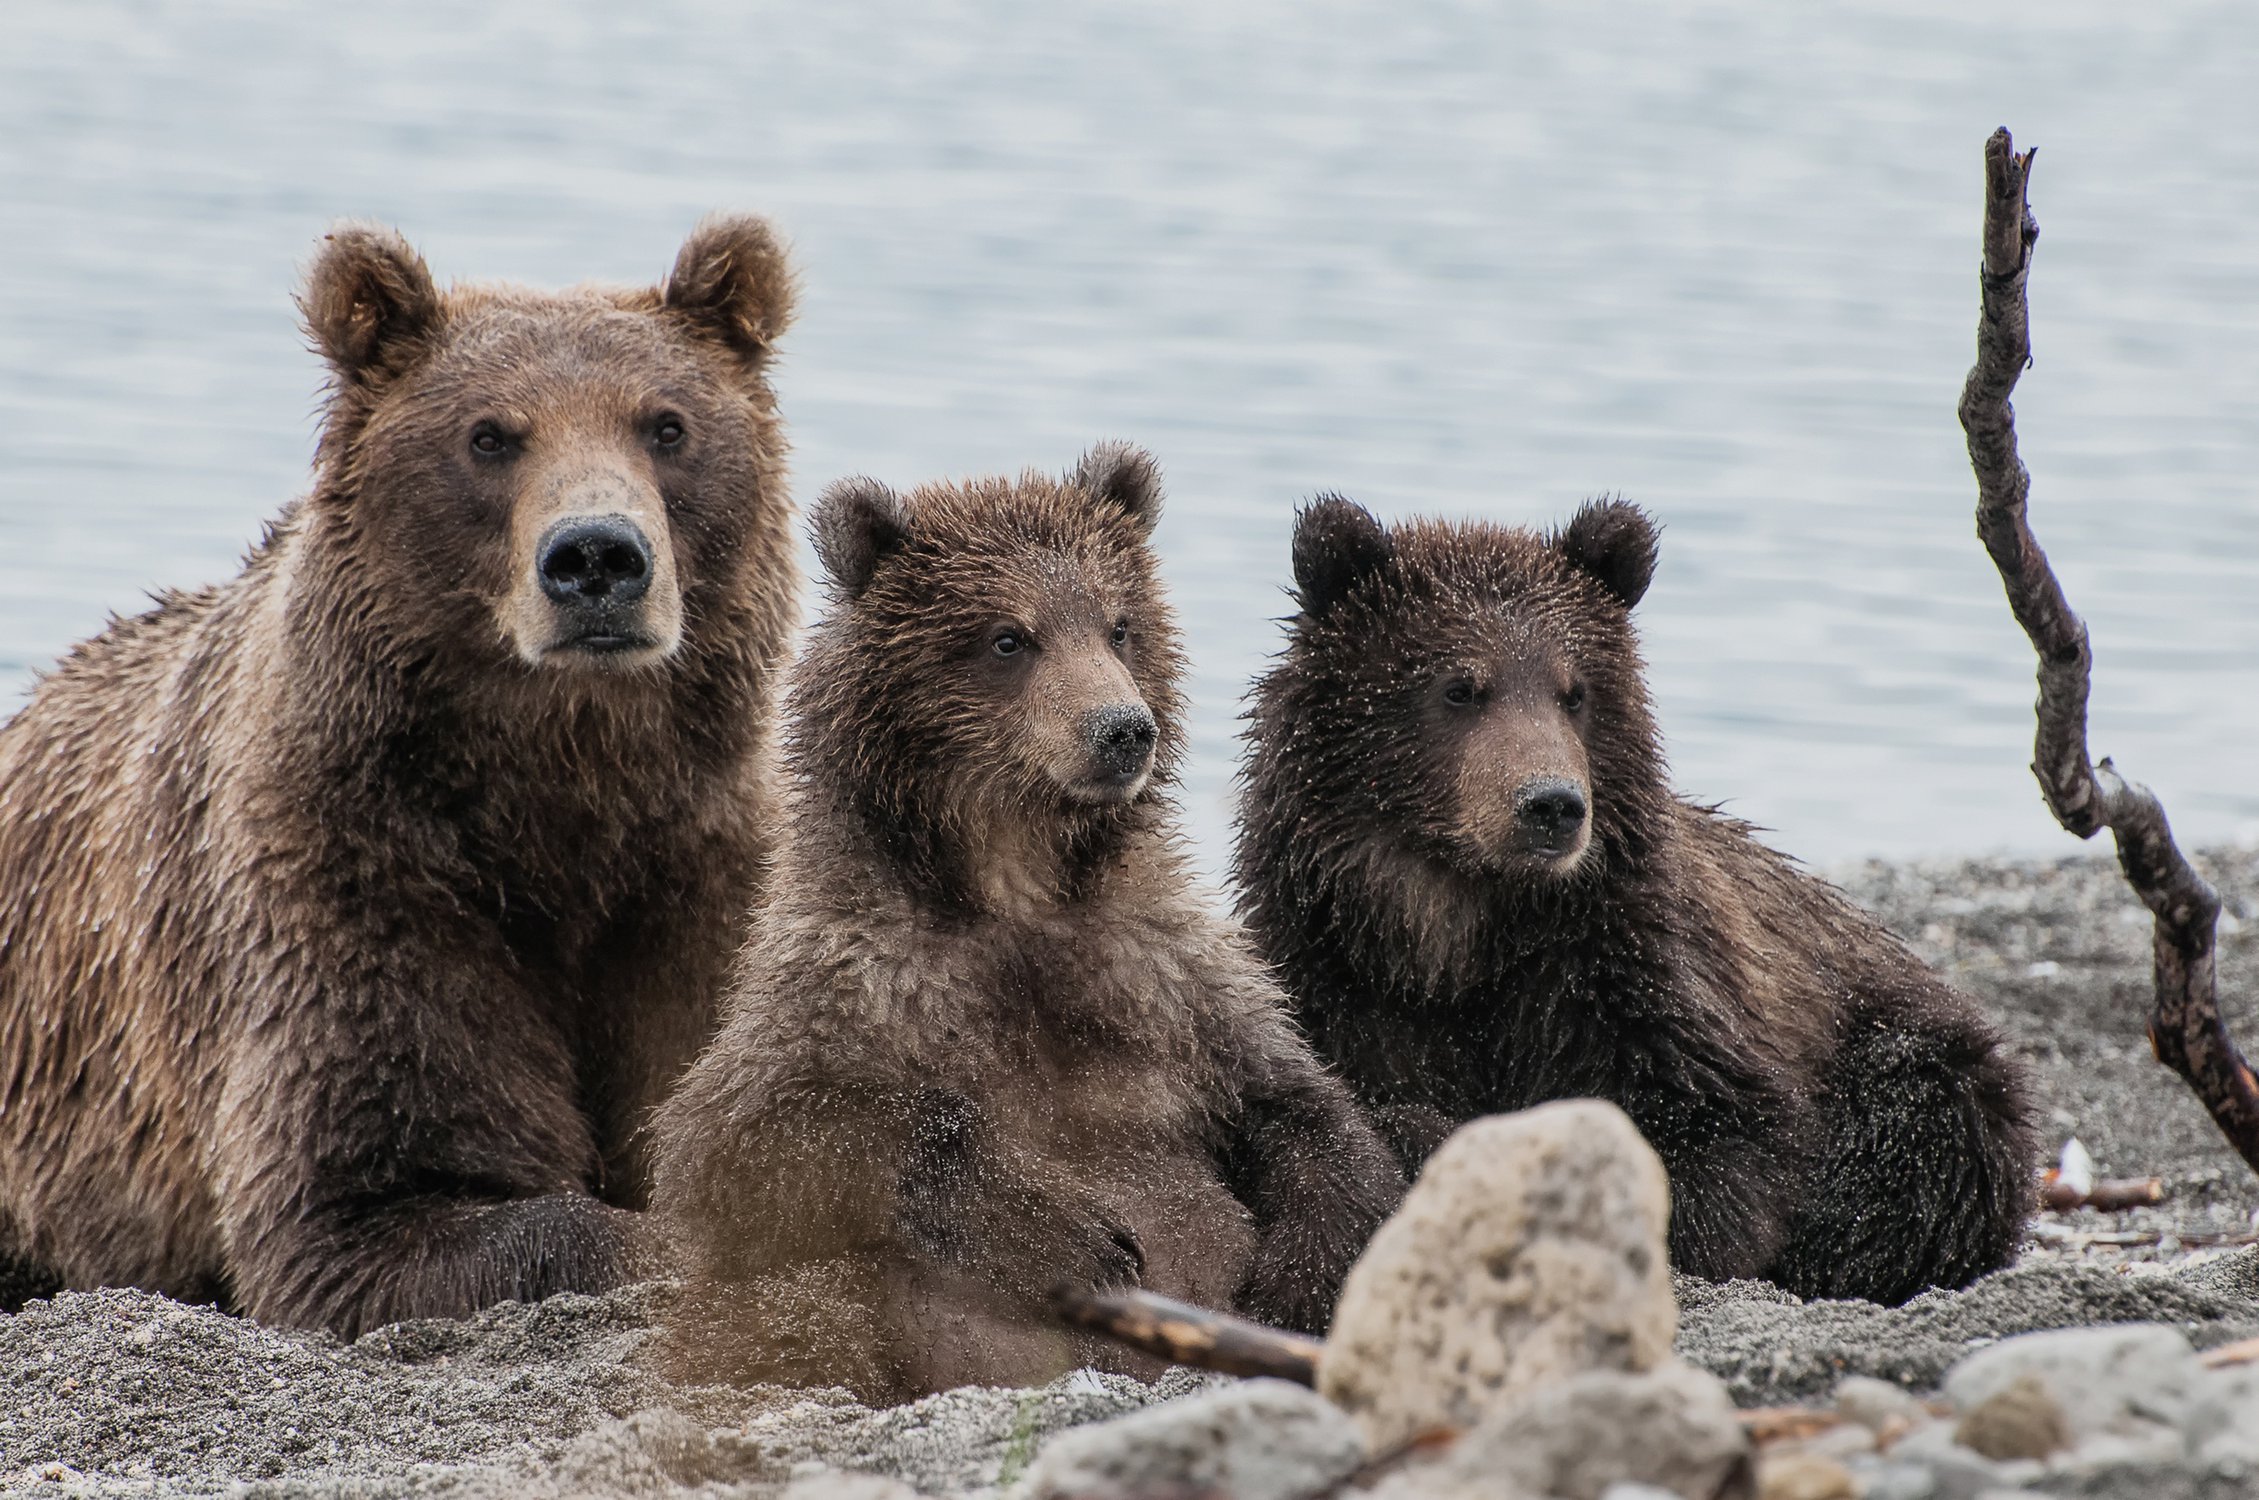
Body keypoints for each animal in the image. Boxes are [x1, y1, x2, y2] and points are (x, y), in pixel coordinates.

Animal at [0, 216, 804, 1328]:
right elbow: (379, 1192)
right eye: (489, 435)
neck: (565, 787)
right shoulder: (352, 871)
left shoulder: (700, 874)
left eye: (667, 425)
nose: (597, 558)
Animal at [1246, 496, 2042, 1310]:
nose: (1552, 805)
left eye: (1575, 692)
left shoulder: (1634, 981)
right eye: (1458, 687)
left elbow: (1716, 1145)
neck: (1456, 927)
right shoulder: (1330, 980)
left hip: (1916, 1057)